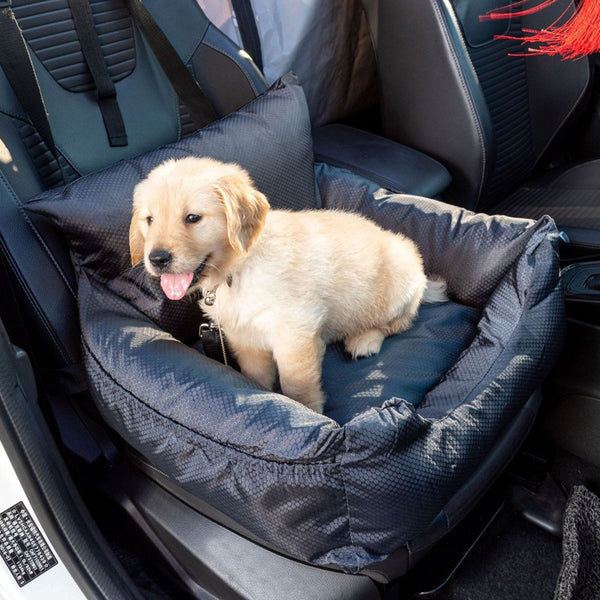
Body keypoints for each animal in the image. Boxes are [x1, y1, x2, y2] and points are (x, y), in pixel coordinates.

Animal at [129, 158, 446, 412]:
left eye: (193, 218)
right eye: (149, 219)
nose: (157, 258)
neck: (239, 269)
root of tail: (422, 280)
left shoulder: (294, 332)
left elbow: (296, 385)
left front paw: (310, 412)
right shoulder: (246, 340)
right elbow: (256, 378)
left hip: (399, 283)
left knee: (399, 322)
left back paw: (365, 339)